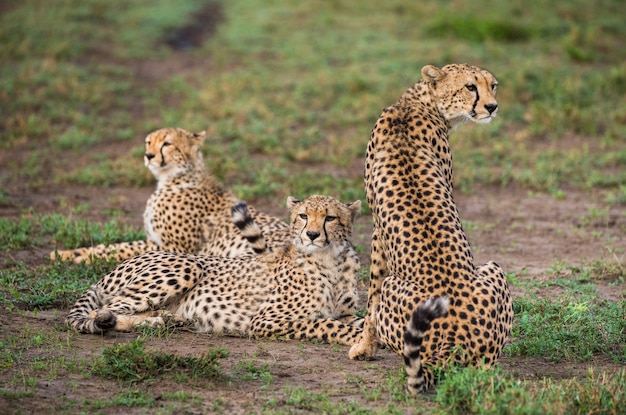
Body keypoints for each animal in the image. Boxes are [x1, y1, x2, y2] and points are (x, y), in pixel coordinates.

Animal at [51, 127, 290, 264]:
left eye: (167, 144)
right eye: (148, 142)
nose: (148, 155)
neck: (173, 178)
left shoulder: (174, 247)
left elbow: (121, 250)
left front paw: (80, 257)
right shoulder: (154, 240)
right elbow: (115, 245)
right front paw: (66, 253)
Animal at [64, 197, 360, 346]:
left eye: (330, 218)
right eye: (303, 216)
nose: (311, 235)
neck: (329, 259)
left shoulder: (346, 313)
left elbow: (358, 320)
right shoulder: (265, 321)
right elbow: (324, 324)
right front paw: (357, 340)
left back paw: (165, 320)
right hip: (188, 265)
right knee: (103, 310)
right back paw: (153, 321)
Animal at [346, 63, 512, 394]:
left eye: (493, 85)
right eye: (470, 86)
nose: (492, 107)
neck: (418, 103)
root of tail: (455, 342)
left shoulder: (377, 230)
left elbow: (370, 295)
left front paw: (364, 347)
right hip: (493, 270)